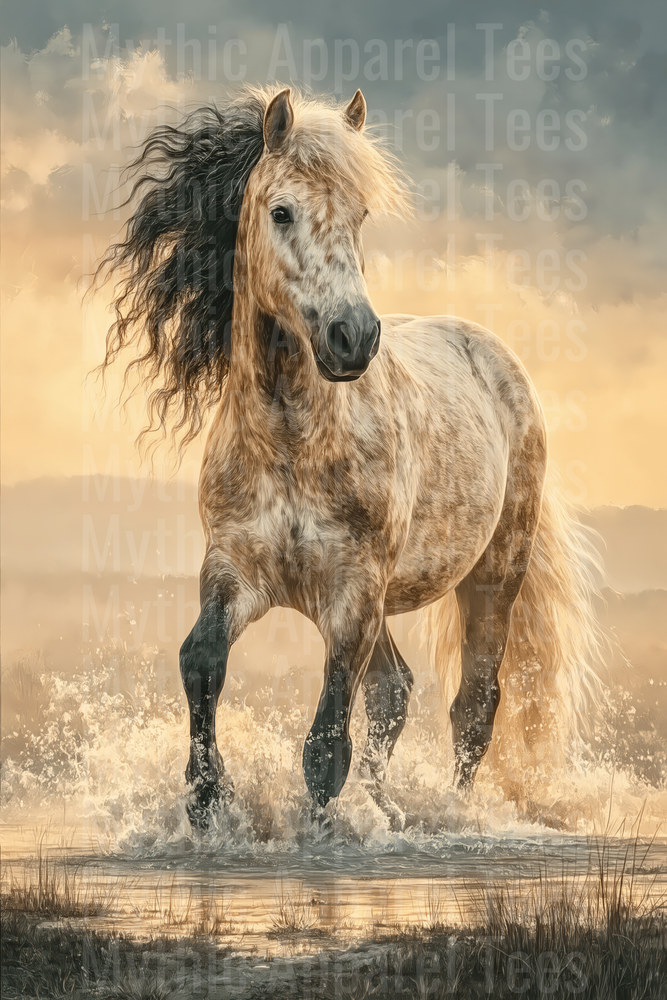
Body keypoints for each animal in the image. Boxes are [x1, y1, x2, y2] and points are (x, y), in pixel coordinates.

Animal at [95, 86, 606, 830]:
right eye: (280, 211)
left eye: (359, 215)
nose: (353, 337)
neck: (291, 443)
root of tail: (493, 354)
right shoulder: (235, 571)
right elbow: (202, 661)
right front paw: (207, 800)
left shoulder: (352, 594)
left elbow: (325, 744)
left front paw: (319, 828)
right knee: (394, 689)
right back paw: (386, 807)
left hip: (491, 574)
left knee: (474, 704)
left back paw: (444, 812)